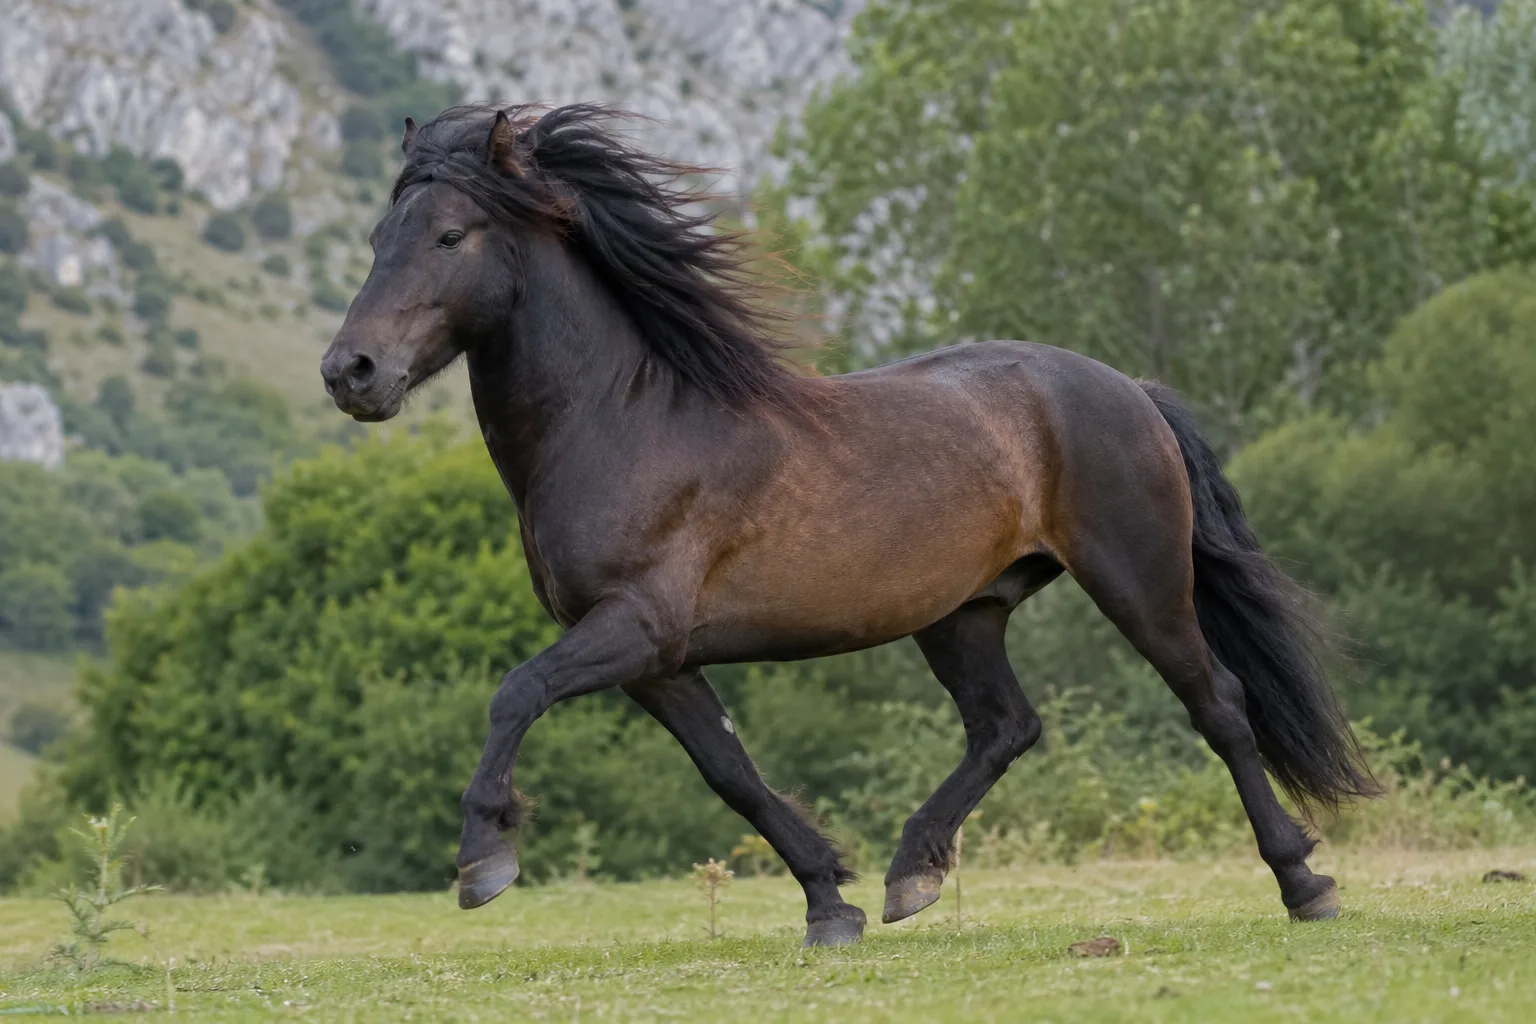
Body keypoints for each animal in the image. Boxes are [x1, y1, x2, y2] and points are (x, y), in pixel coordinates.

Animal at [320, 104, 1376, 947]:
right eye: (376, 237)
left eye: (450, 235)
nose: (350, 372)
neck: (621, 421)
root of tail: (1131, 390)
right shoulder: (657, 660)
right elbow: (732, 773)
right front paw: (832, 901)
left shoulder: (632, 629)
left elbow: (515, 694)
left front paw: (483, 859)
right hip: (962, 613)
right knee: (1006, 727)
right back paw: (913, 874)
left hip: (1140, 581)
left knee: (1219, 705)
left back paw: (1304, 883)